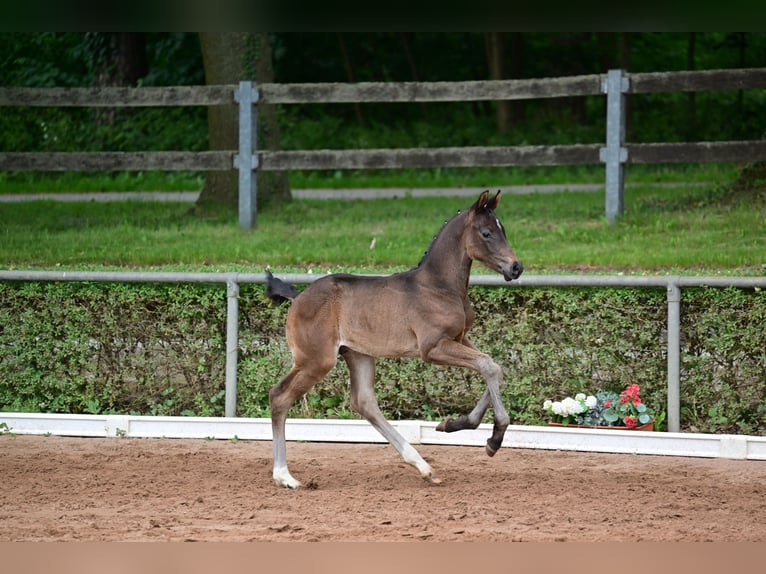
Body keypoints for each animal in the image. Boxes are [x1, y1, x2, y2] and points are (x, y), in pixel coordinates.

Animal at [268, 191, 524, 488]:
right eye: (486, 233)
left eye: (503, 230)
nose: (516, 267)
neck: (439, 286)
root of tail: (298, 297)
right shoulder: (432, 347)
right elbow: (488, 366)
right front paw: (494, 438)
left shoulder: (459, 338)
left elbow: (494, 367)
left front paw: (453, 424)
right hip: (316, 360)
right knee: (280, 396)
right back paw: (285, 476)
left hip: (358, 354)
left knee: (364, 402)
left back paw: (423, 466)